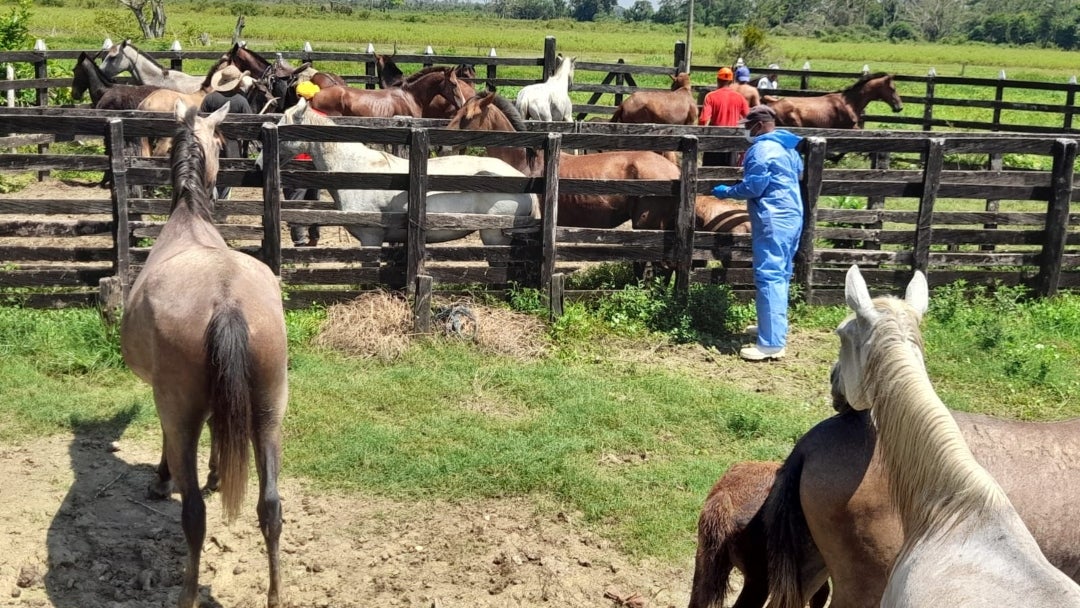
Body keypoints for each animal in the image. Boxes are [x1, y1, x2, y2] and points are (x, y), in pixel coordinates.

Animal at [120, 98, 289, 608]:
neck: (188, 218)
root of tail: (227, 298)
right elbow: (221, 425)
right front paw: (217, 471)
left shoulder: (167, 403)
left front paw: (163, 477)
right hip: (269, 412)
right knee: (271, 507)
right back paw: (276, 594)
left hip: (180, 409)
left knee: (194, 515)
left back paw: (188, 592)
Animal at [257, 99, 535, 247]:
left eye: (283, 127)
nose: (259, 164)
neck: (355, 170)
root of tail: (525, 183)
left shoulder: (370, 237)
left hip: (494, 235)